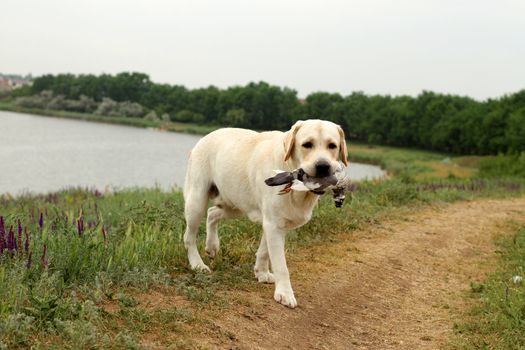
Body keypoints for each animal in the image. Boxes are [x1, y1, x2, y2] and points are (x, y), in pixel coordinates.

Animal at [182, 119, 346, 308]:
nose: (323, 166)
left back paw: (212, 246)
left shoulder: (274, 223)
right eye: (307, 144)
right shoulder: (273, 224)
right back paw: (197, 264)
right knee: (189, 237)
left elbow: (264, 251)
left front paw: (261, 272)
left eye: (332, 146)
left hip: (234, 206)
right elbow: (281, 264)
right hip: (197, 201)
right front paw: (285, 292)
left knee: (212, 213)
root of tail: (205, 136)